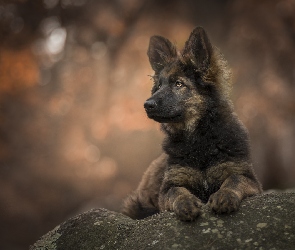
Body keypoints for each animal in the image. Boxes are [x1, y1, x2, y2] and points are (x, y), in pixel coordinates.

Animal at [122, 26, 264, 221]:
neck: (198, 139)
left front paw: (224, 196)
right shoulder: (168, 187)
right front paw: (186, 204)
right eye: (158, 86)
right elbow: (177, 192)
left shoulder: (248, 178)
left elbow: (234, 180)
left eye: (179, 84)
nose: (147, 105)